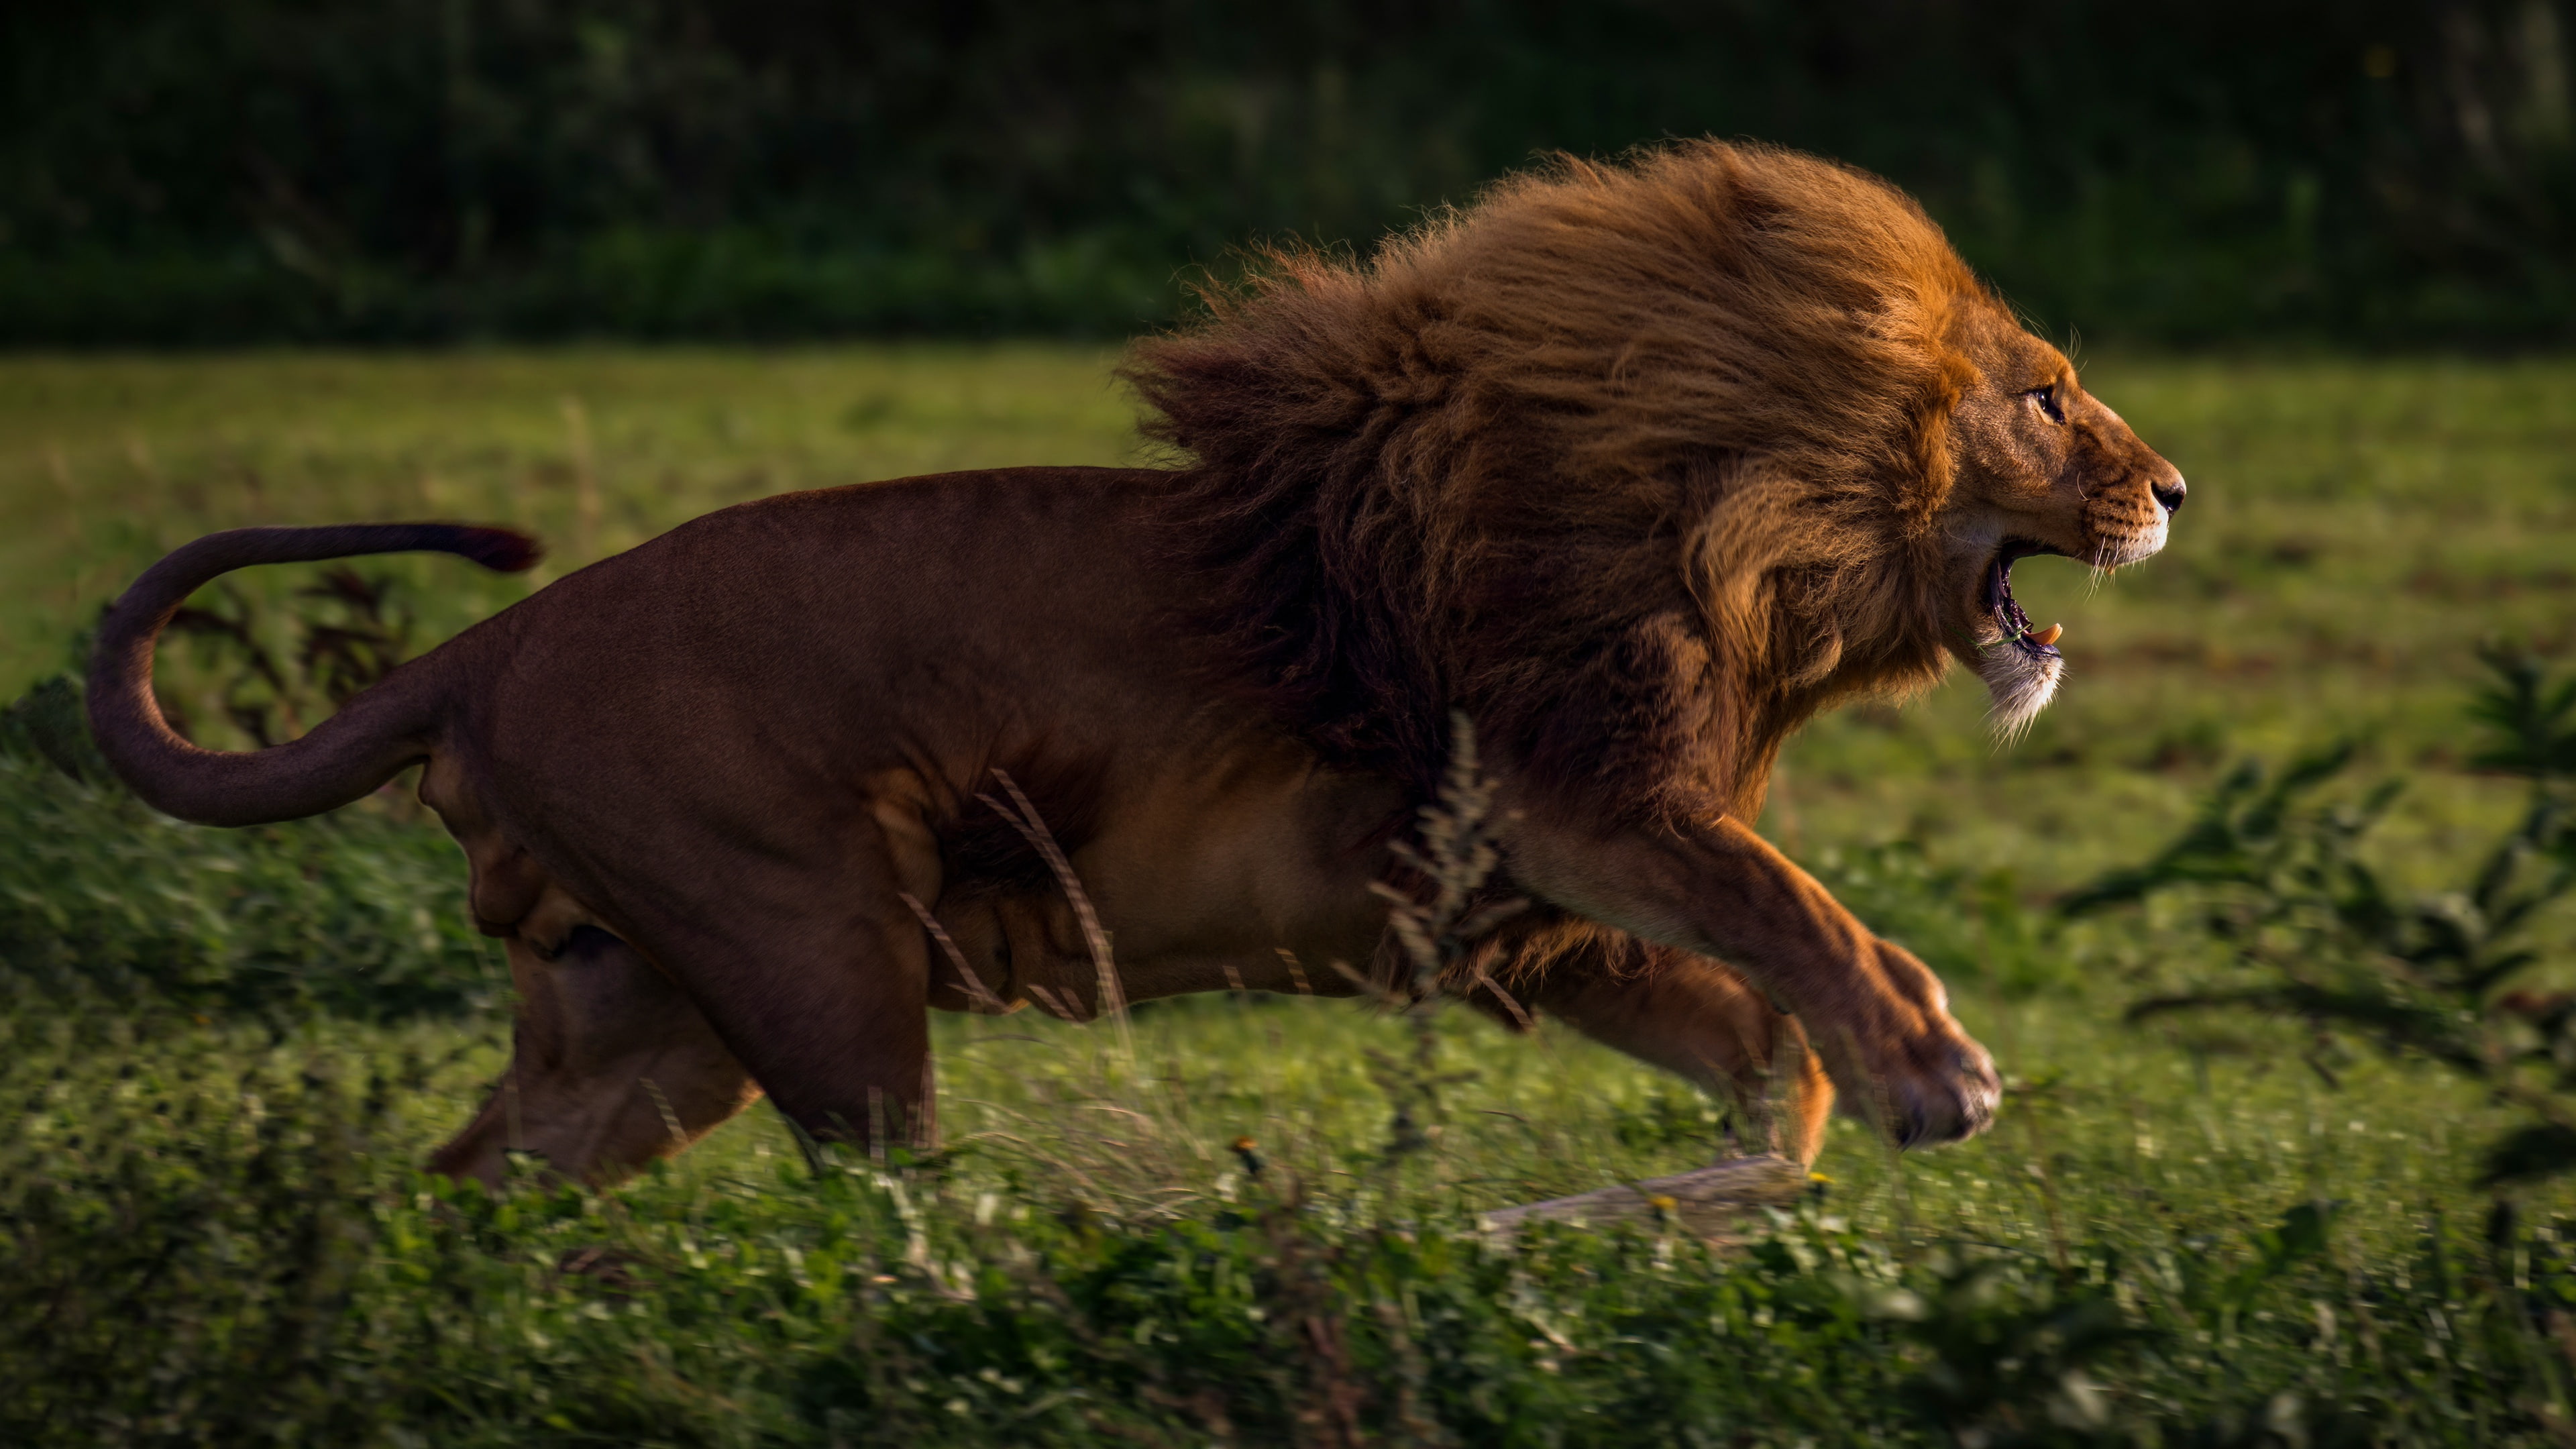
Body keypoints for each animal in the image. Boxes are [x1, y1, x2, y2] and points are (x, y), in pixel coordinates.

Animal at [86, 141, 2183, 1185]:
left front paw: (1632, 1215)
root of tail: (487, 639)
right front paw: (1938, 1077)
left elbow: (1760, 1053)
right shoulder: (1575, 802)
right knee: (886, 1201)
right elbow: (1809, 914)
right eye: (2049, 396)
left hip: (642, 1014)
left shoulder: (1507, 910)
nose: (2169, 487)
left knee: (472, 1183)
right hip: (813, 951)